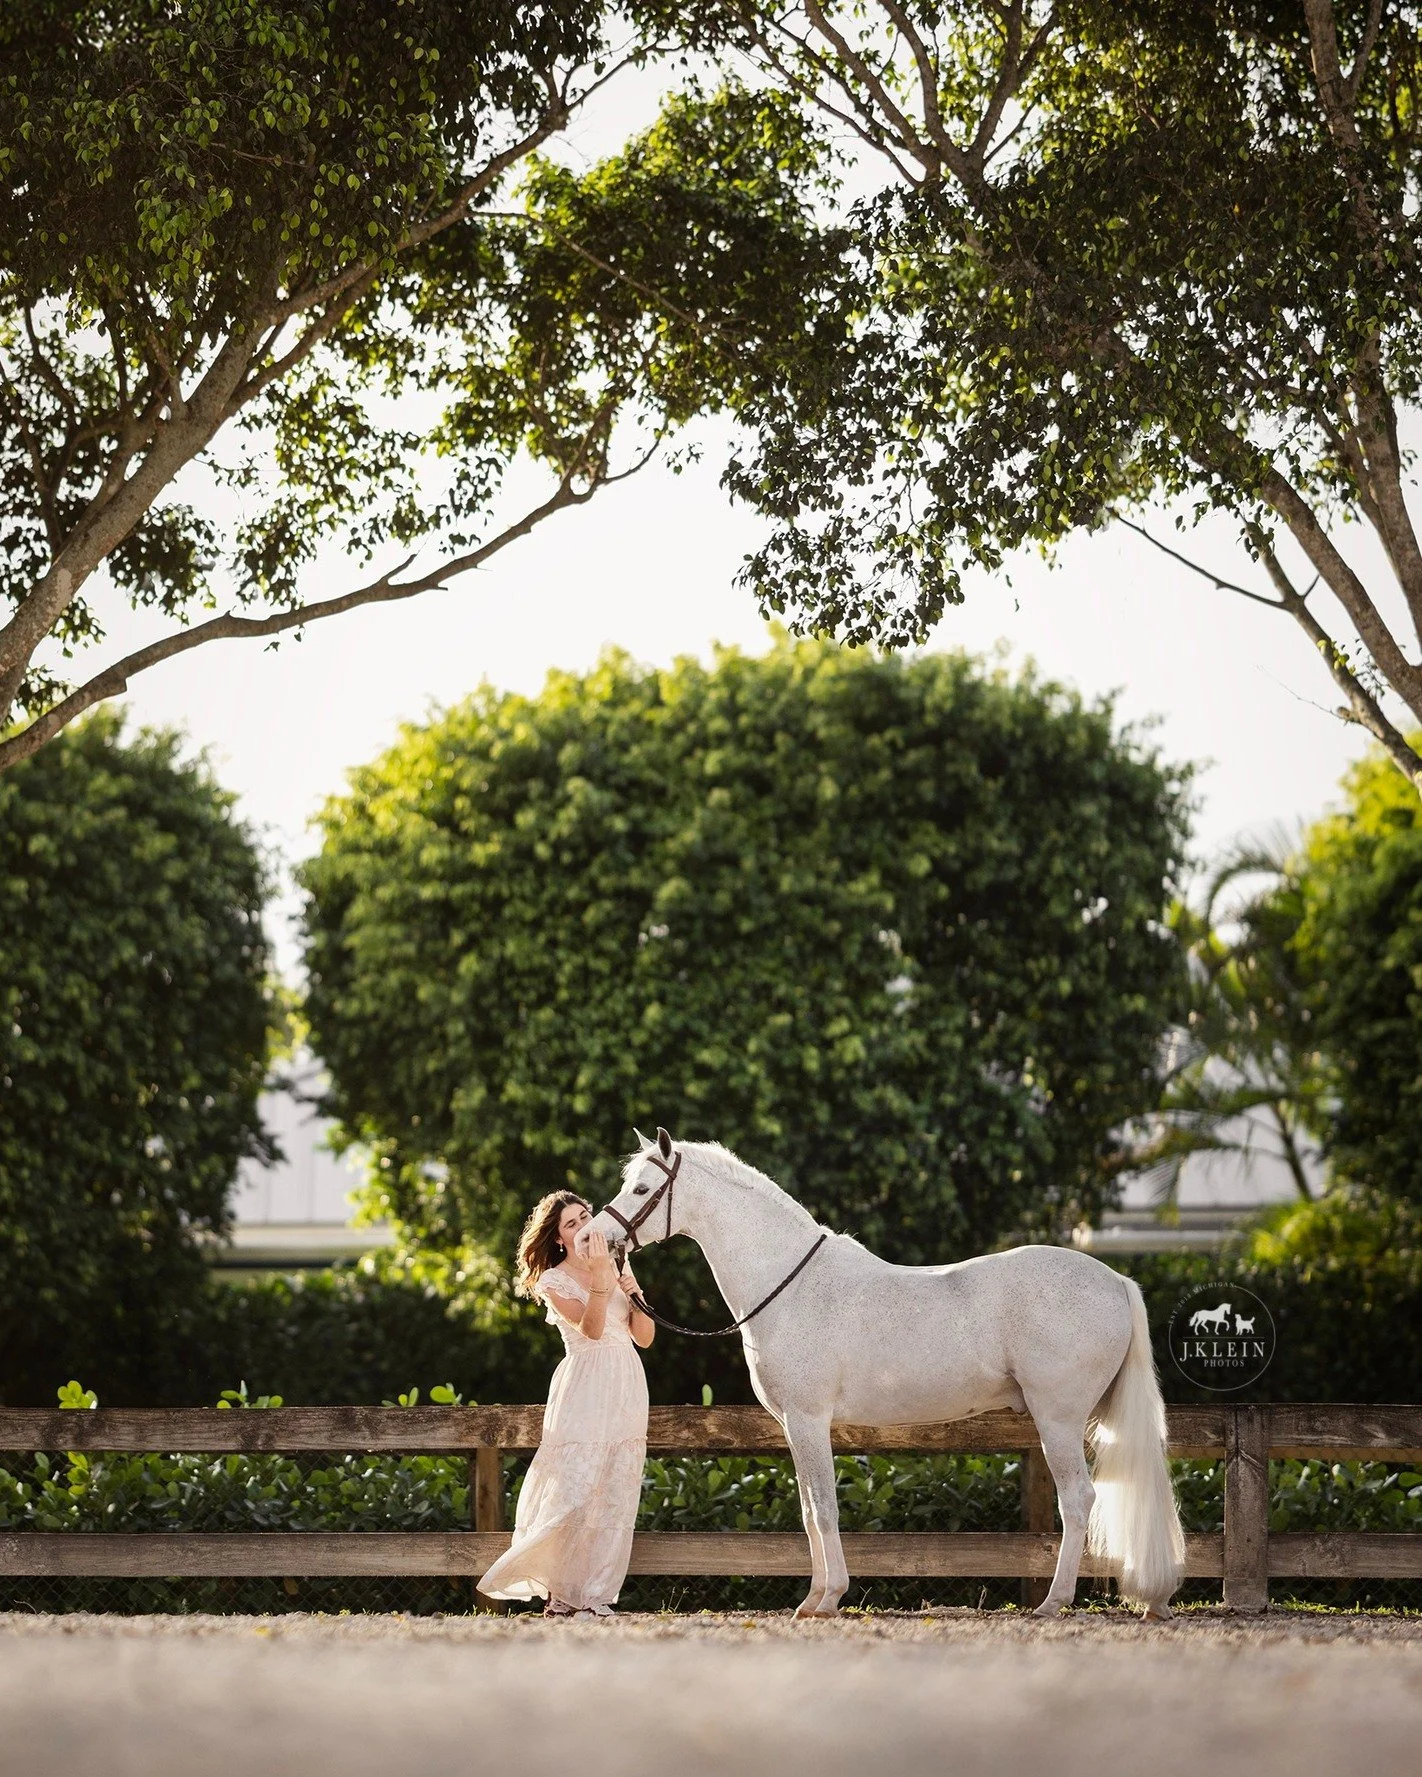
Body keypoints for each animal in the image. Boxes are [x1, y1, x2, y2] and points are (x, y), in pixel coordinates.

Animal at [585, 1129, 1184, 1621]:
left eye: (642, 1189)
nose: (595, 1239)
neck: (789, 1286)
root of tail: (1115, 1281)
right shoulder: (792, 1427)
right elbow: (809, 1510)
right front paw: (812, 1598)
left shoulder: (808, 1420)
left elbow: (825, 1509)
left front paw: (828, 1598)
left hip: (1057, 1419)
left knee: (1077, 1500)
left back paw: (1053, 1603)